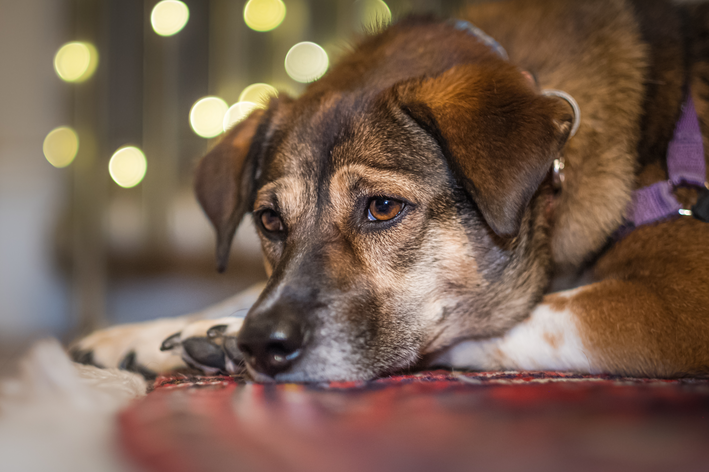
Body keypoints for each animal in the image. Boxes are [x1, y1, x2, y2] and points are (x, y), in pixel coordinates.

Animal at [73, 0, 708, 384]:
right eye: (270, 221)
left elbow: (505, 322)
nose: (260, 344)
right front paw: (149, 333)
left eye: (382, 208)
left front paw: (222, 337)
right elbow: (248, 288)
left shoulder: (677, 302)